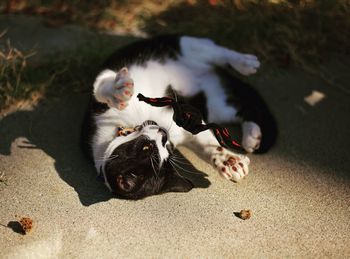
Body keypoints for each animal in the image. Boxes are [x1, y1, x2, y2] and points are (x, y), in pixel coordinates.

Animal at [80, 35, 278, 201]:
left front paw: (120, 92)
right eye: (166, 148)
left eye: (146, 147)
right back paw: (252, 137)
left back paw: (245, 62)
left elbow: (103, 88)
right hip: (215, 105)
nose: (162, 132)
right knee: (246, 109)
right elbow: (205, 143)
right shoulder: (184, 128)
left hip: (185, 47)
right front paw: (228, 162)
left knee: (215, 51)